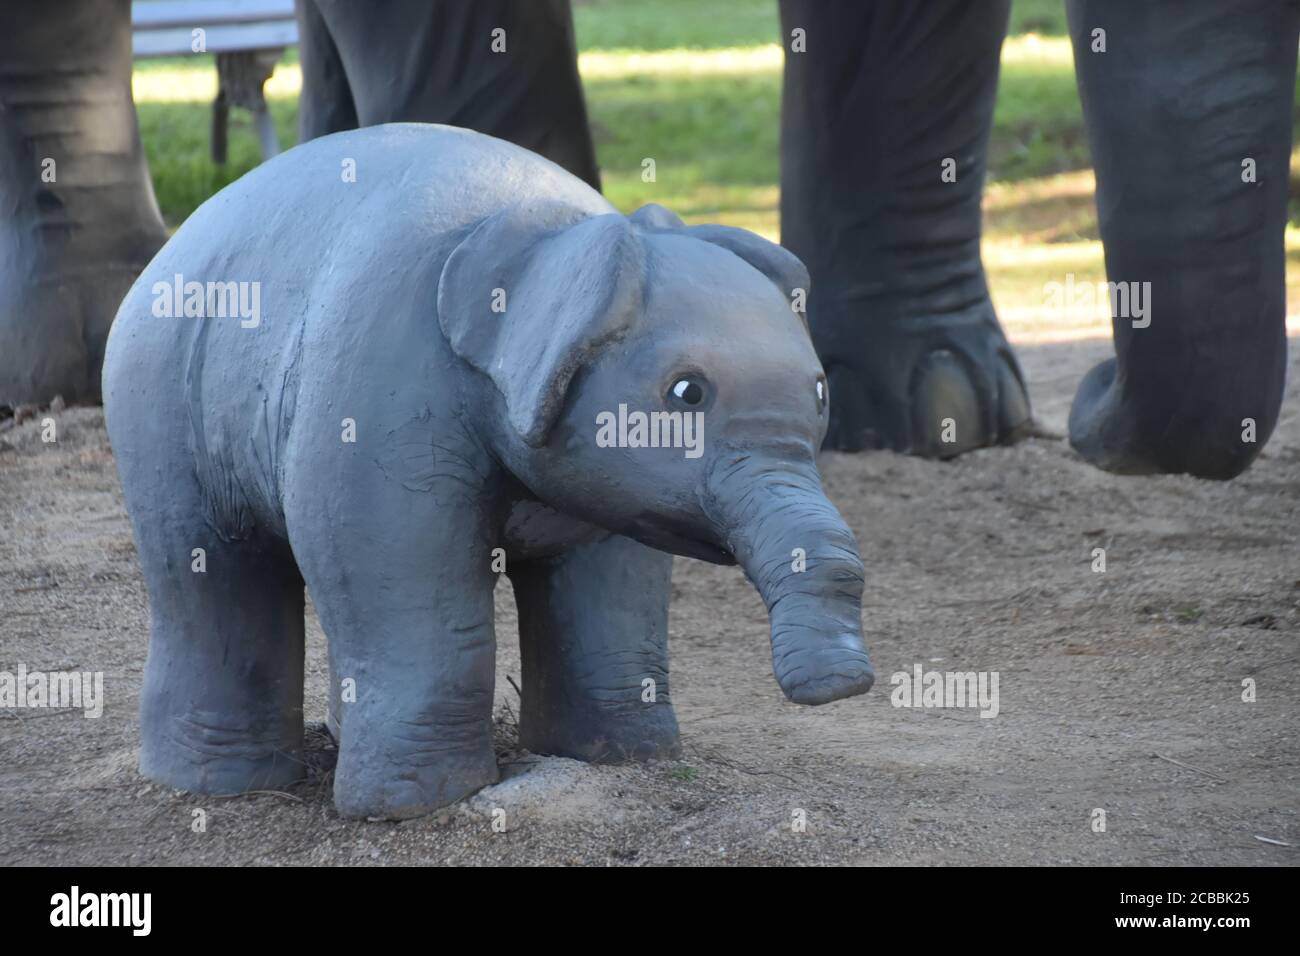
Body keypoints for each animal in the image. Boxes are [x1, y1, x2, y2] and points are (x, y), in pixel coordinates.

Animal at [102, 123, 875, 819]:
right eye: (687, 392)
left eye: (819, 393)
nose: (843, 687)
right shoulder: (377, 393)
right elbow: (398, 571)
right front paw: (413, 806)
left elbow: (615, 580)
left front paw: (620, 759)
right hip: (157, 408)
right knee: (208, 578)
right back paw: (219, 785)